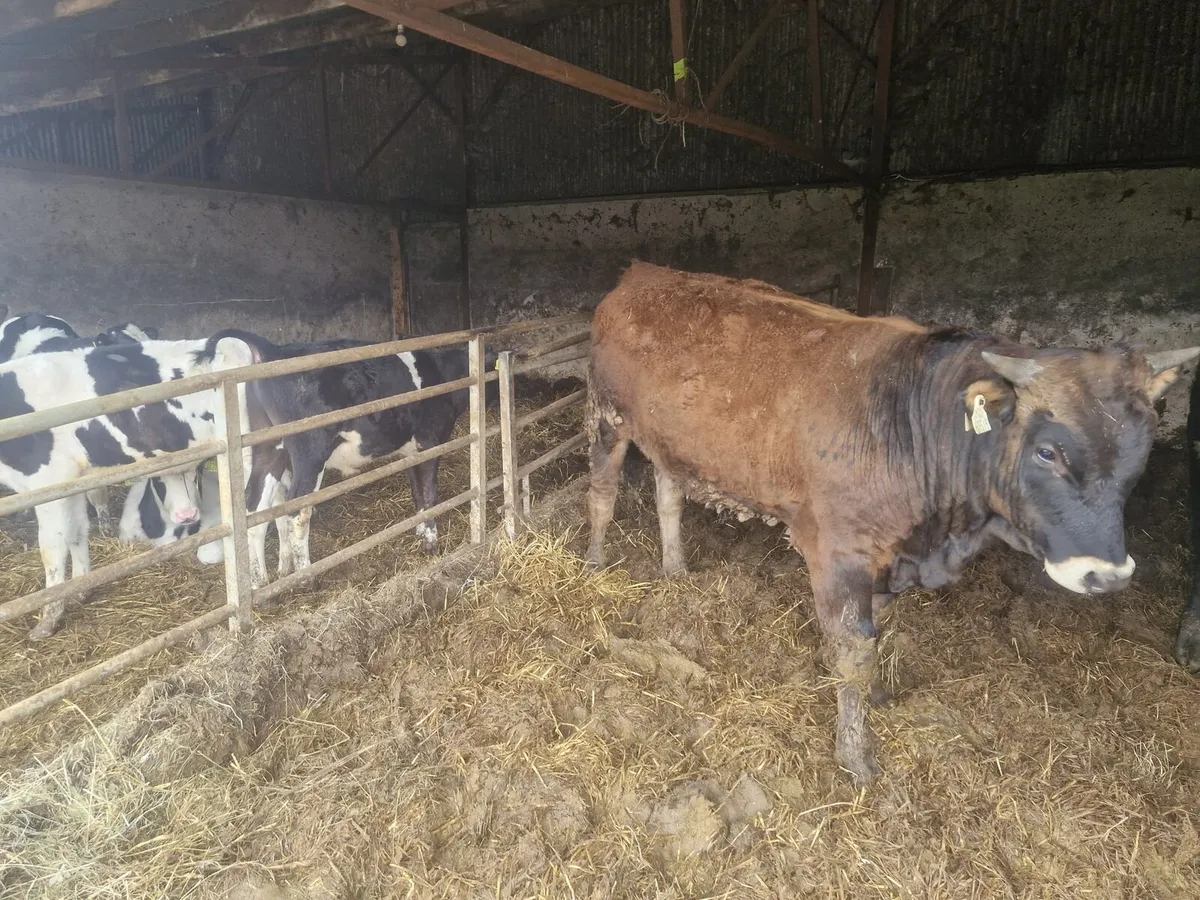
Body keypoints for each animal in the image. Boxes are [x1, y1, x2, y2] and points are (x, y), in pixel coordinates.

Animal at [0, 335, 255, 639]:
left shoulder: (48, 481)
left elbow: (52, 548)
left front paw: (47, 621)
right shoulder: (73, 482)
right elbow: (77, 533)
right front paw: (81, 590)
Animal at [201, 329, 499, 589]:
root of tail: (275, 350)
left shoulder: (411, 451)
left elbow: (417, 492)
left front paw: (419, 530)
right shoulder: (431, 441)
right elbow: (429, 493)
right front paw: (431, 542)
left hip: (269, 448)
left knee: (255, 508)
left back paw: (260, 581)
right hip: (310, 451)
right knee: (297, 511)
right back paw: (306, 577)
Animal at [584, 261, 1199, 784]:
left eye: (1142, 448)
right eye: (1047, 451)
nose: (1107, 575)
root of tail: (643, 273)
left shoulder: (892, 553)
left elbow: (873, 633)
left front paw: (873, 695)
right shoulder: (838, 552)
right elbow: (854, 651)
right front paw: (855, 755)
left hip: (671, 443)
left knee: (668, 494)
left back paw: (674, 568)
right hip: (607, 416)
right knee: (602, 493)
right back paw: (593, 564)